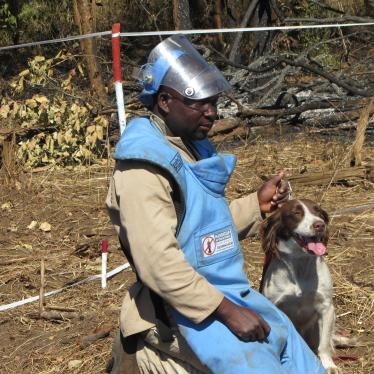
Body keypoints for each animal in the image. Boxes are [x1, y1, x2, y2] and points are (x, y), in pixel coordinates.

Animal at [258, 199, 340, 372]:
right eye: (296, 213)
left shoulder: (327, 308)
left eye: (318, 211)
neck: (299, 263)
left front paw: (329, 365)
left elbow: (324, 345)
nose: (320, 225)